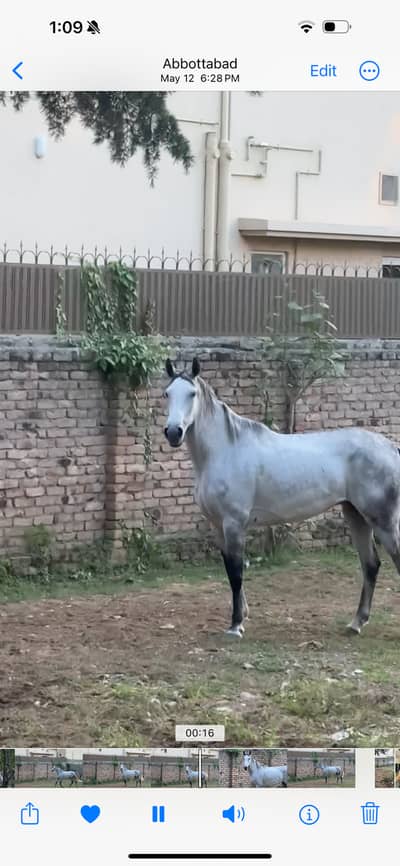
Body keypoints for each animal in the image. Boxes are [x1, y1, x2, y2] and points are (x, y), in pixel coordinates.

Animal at [164, 357, 400, 638]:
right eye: (167, 394)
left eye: (192, 394)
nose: (173, 432)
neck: (225, 451)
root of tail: (391, 448)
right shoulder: (218, 526)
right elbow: (230, 569)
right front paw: (242, 614)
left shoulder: (233, 523)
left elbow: (236, 572)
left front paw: (236, 625)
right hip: (356, 515)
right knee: (370, 565)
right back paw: (356, 623)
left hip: (382, 520)